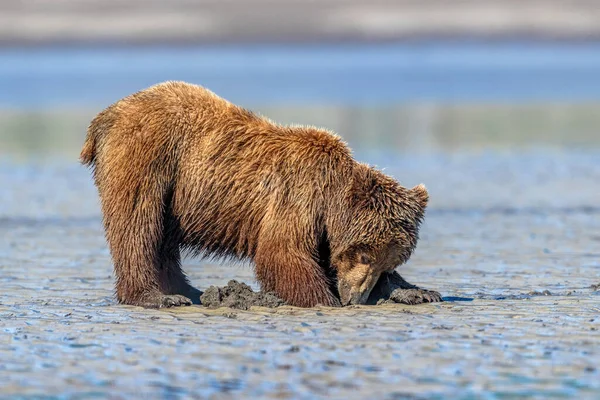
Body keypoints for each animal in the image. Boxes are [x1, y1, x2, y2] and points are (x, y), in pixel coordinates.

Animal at [79, 80, 438, 306]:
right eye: (364, 255)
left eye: (386, 261)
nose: (355, 297)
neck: (330, 197)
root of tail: (106, 115)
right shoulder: (298, 196)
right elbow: (282, 252)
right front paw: (325, 300)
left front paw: (417, 291)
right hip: (151, 158)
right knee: (138, 226)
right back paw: (159, 297)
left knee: (162, 238)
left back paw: (189, 291)